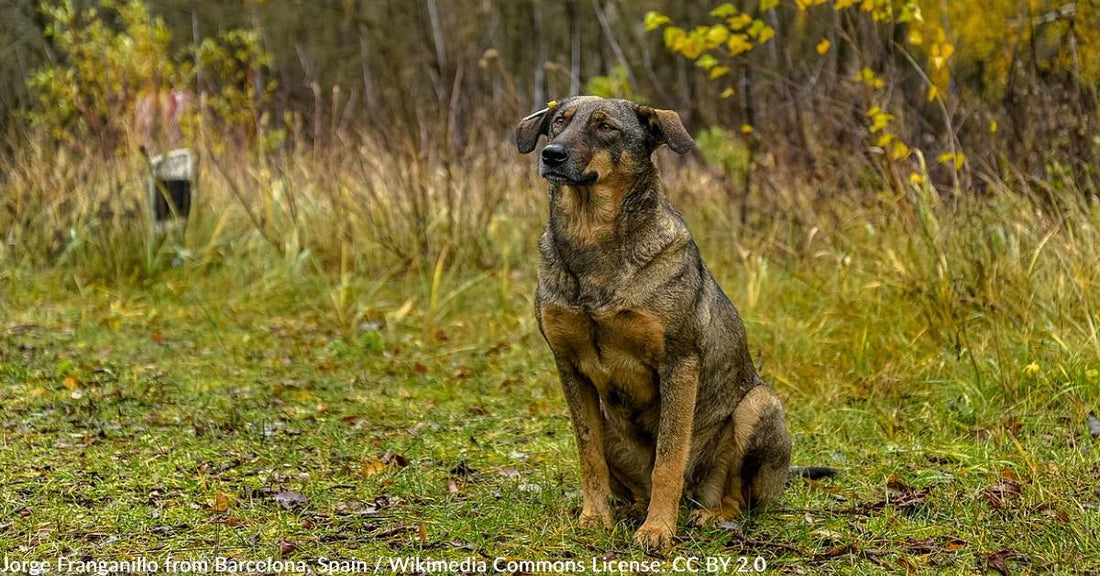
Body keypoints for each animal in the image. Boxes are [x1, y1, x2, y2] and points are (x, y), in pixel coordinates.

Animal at [519, 97, 827, 549]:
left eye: (606, 127)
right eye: (559, 122)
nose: (551, 155)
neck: (592, 237)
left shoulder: (678, 364)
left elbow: (668, 459)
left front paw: (658, 529)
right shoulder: (569, 366)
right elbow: (588, 454)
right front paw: (594, 518)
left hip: (759, 406)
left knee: (735, 497)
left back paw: (708, 516)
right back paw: (630, 508)